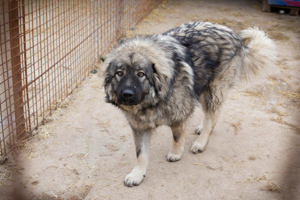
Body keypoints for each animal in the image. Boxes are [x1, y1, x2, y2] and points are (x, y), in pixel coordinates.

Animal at [102, 21, 278, 186]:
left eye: (141, 74)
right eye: (119, 73)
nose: (127, 94)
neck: (151, 102)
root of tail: (235, 35)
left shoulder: (180, 114)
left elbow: (177, 137)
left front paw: (176, 153)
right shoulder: (139, 127)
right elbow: (141, 154)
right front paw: (137, 174)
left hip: (212, 90)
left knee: (212, 115)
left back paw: (201, 142)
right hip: (202, 88)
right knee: (213, 114)